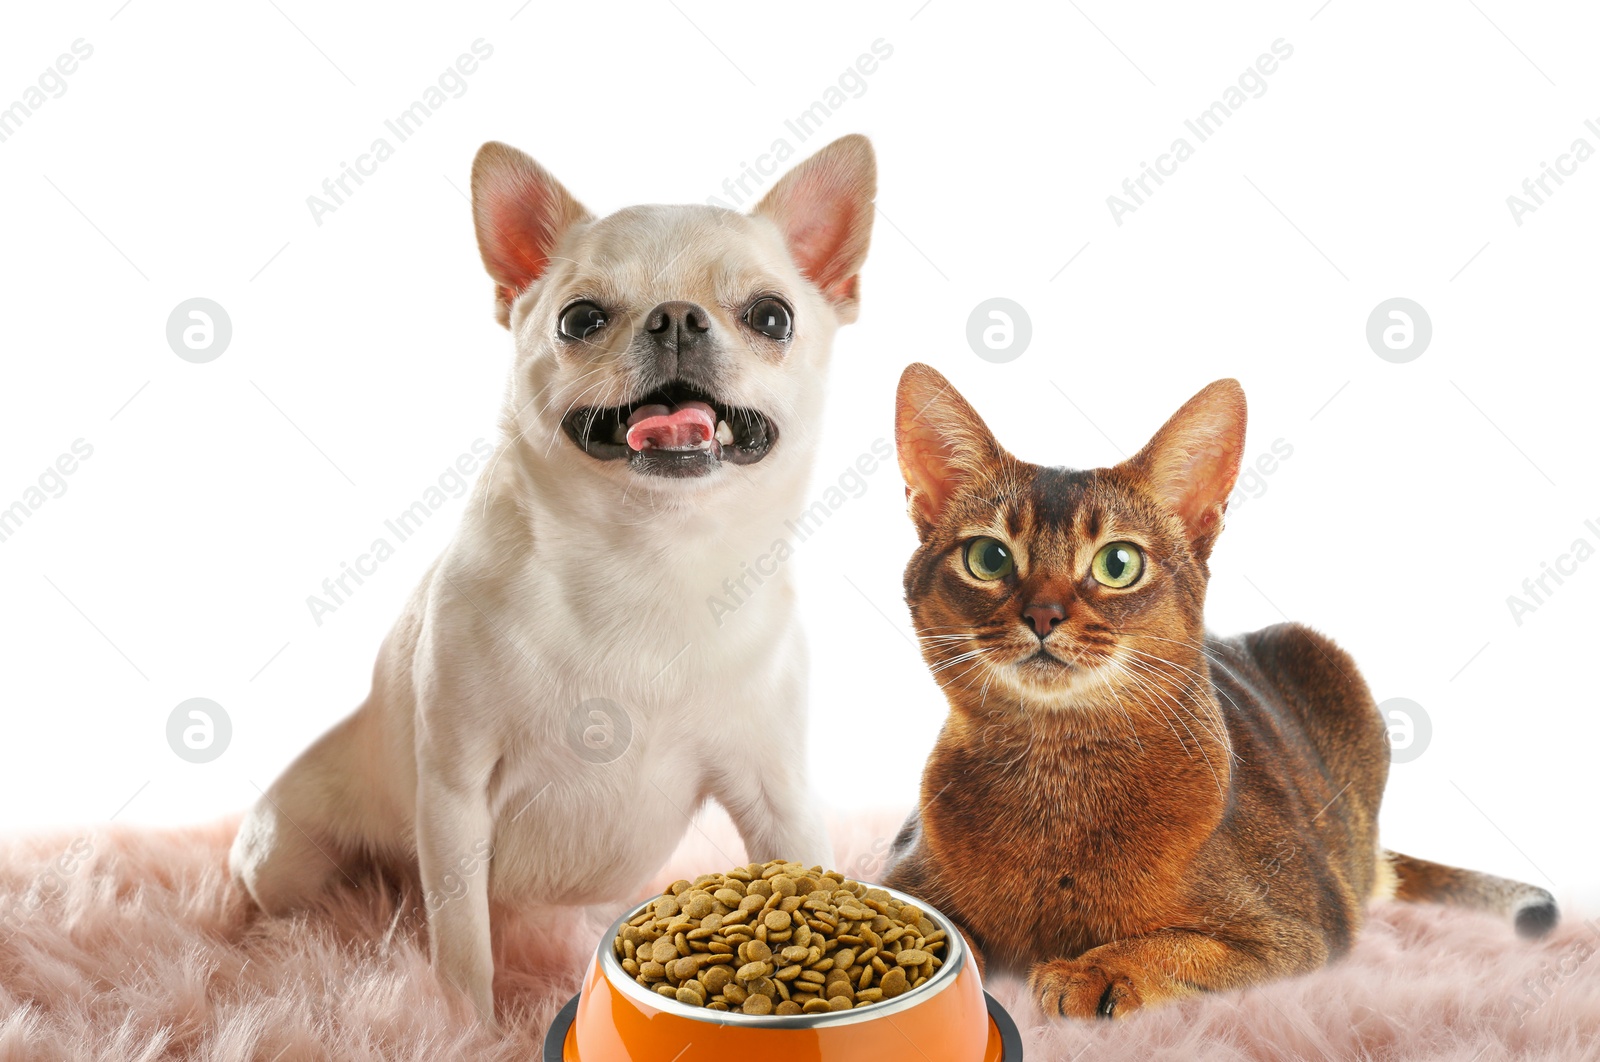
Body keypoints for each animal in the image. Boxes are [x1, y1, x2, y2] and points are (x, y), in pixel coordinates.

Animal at [228, 130, 876, 1023]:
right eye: (581, 318)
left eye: (771, 317)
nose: (676, 316)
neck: (645, 555)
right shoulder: (455, 793)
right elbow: (463, 944)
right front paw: (468, 1028)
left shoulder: (775, 791)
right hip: (286, 851)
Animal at [883, 364, 1555, 1023]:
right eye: (988, 557)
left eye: (1117, 563)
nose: (1043, 615)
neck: (1058, 774)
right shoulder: (903, 875)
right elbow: (949, 935)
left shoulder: (1300, 928)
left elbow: (1176, 946)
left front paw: (1092, 970)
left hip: (1318, 655)